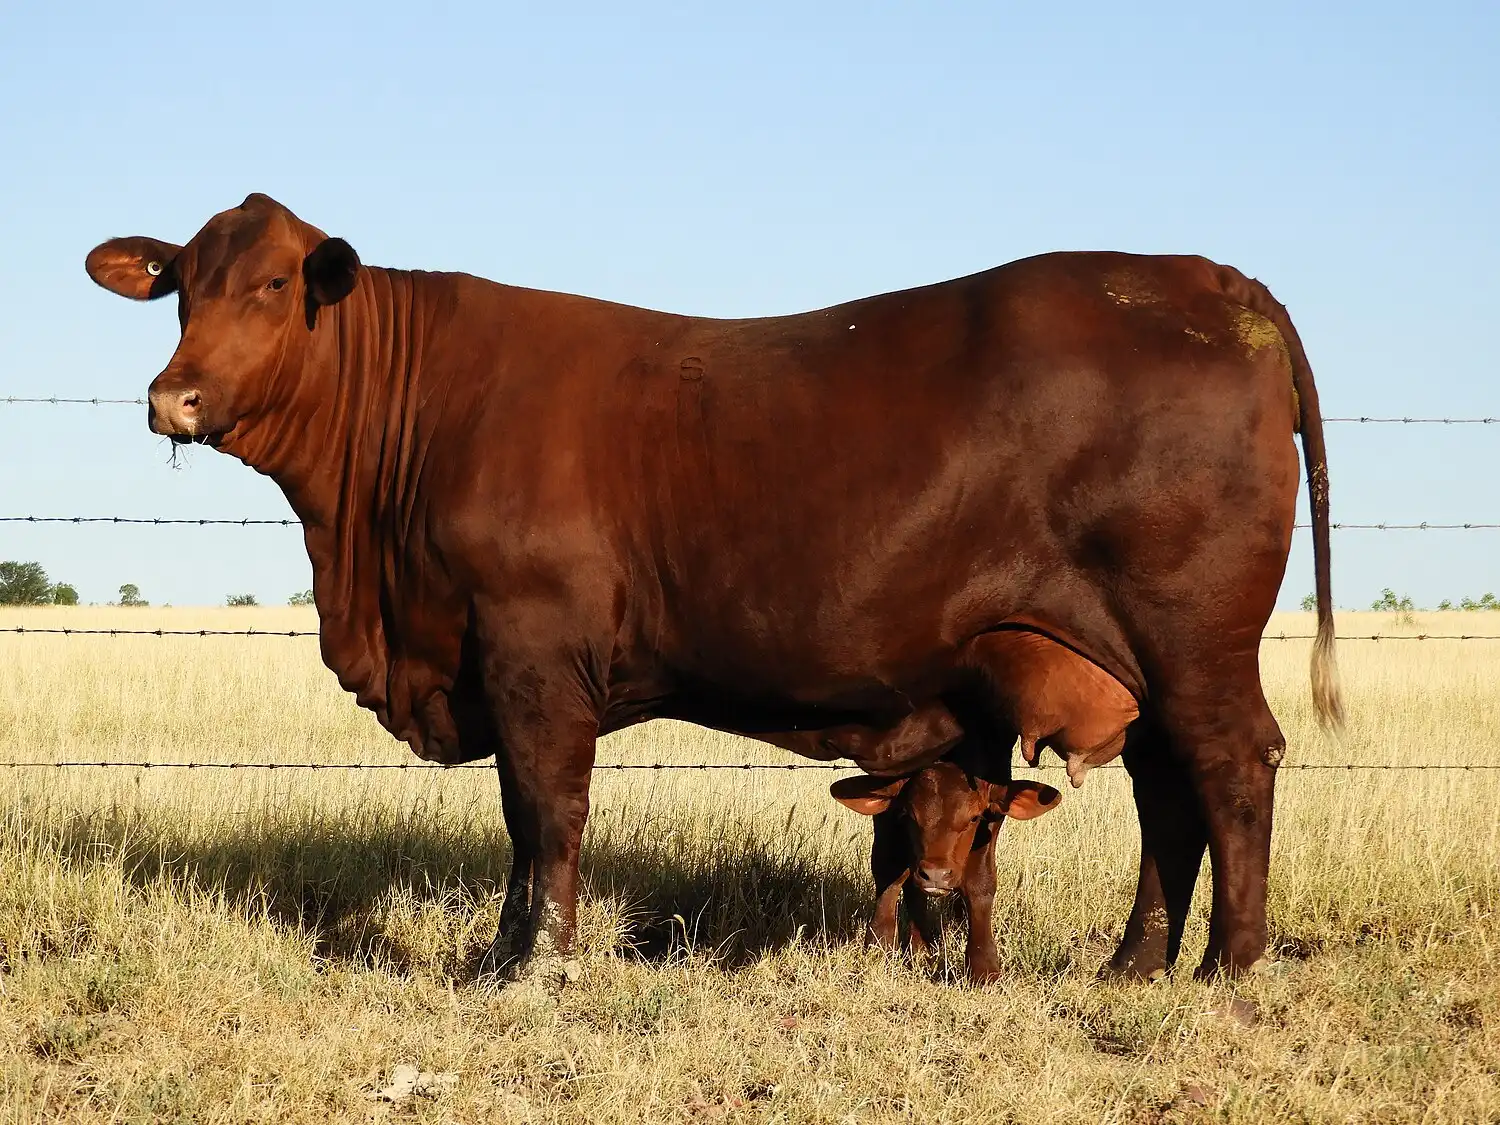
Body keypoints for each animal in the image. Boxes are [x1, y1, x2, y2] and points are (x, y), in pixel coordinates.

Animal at [831, 764, 1062, 984]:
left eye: (974, 818)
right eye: (908, 815)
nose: (936, 875)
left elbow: (980, 883)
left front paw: (984, 969)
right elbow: (890, 873)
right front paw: (878, 949)